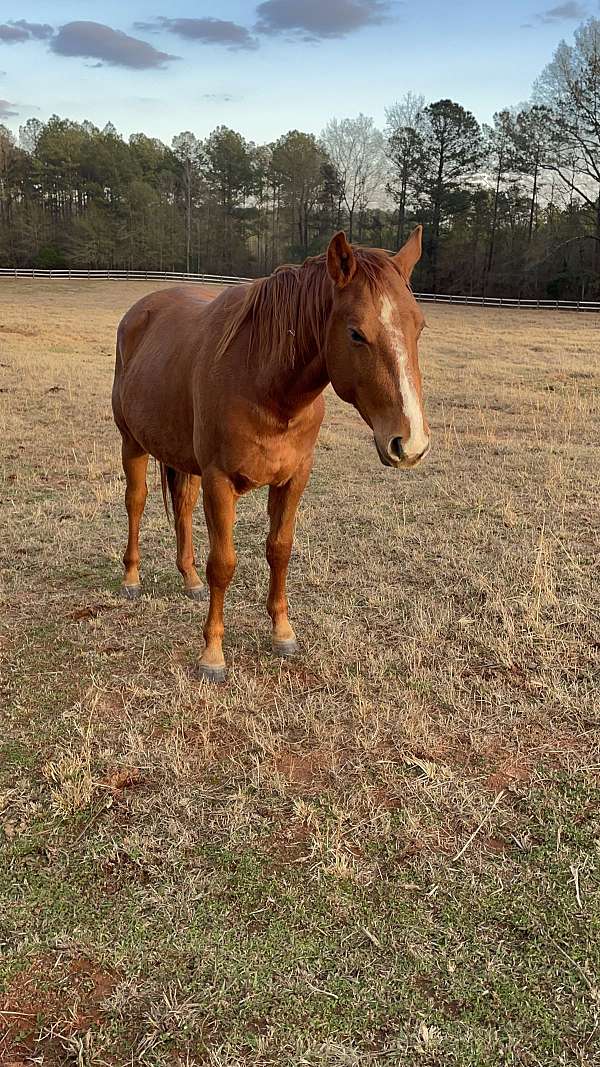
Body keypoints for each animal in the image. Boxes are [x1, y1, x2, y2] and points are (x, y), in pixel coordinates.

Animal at [112, 228, 430, 681]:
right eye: (355, 333)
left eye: (419, 327)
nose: (410, 443)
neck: (264, 382)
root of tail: (139, 312)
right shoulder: (219, 480)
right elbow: (223, 564)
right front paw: (212, 654)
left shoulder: (294, 478)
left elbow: (279, 550)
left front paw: (282, 633)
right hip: (132, 444)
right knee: (136, 504)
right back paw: (132, 579)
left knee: (183, 506)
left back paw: (189, 579)